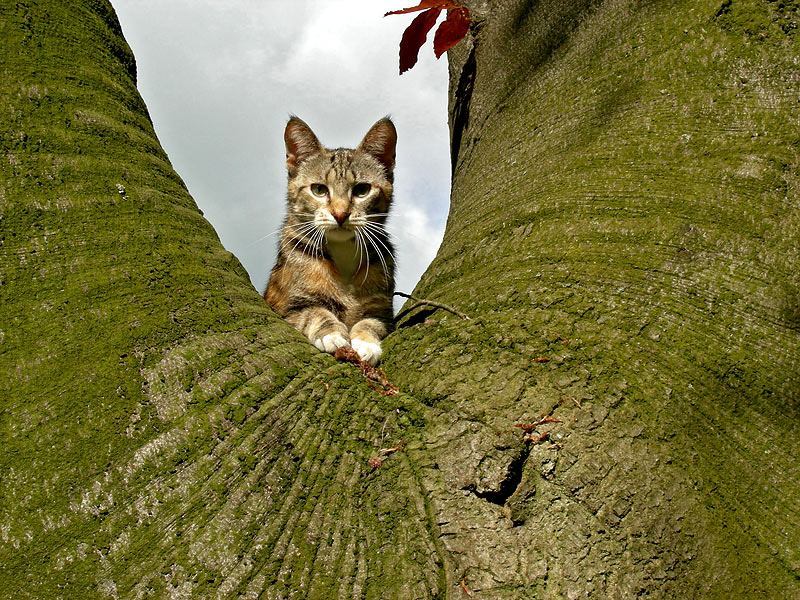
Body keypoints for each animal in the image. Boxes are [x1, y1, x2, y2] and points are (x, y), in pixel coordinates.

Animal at [264, 116, 397, 365]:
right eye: (318, 189)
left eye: (362, 189)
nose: (340, 213)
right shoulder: (287, 310)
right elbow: (315, 312)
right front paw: (332, 333)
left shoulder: (383, 311)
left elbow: (371, 322)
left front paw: (365, 341)